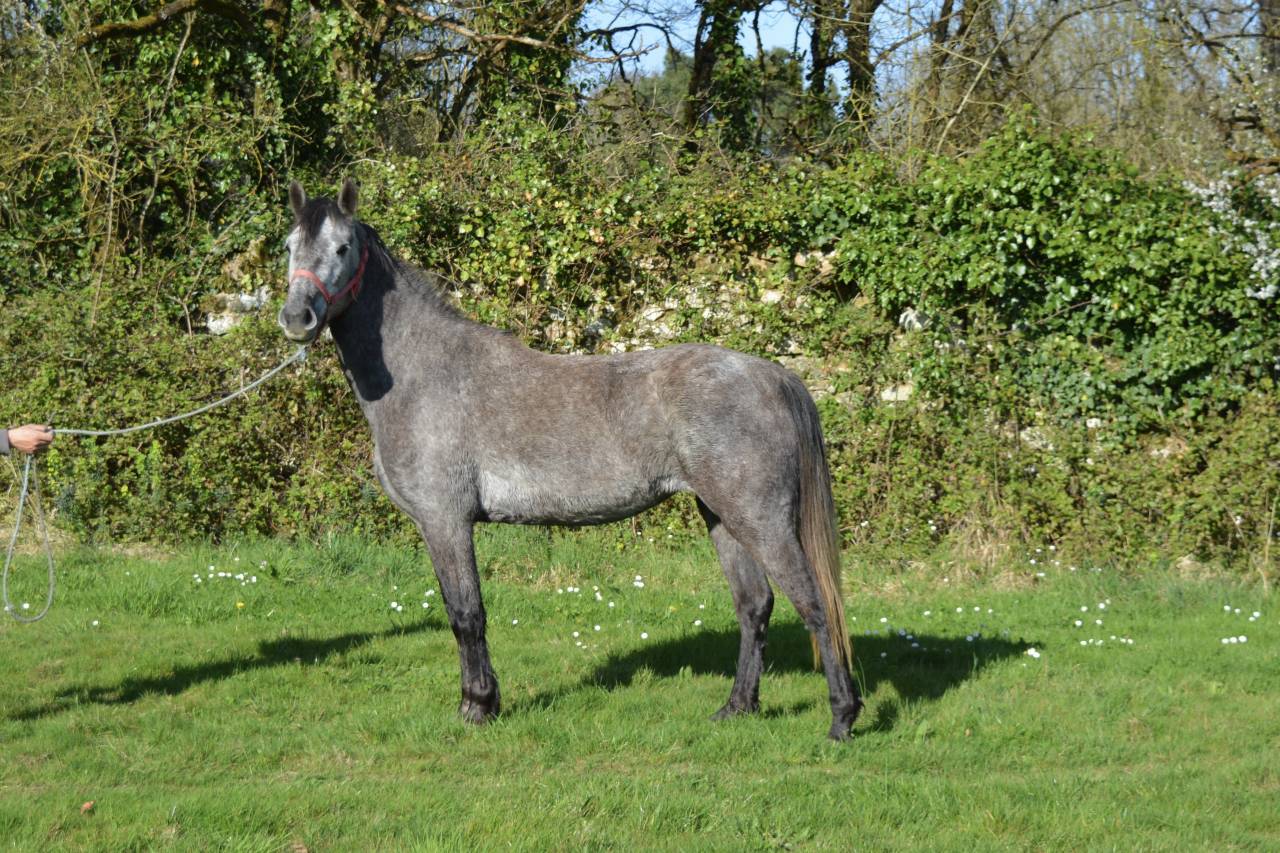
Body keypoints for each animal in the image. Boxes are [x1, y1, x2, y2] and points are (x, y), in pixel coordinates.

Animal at [277, 179, 862, 739]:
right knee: (754, 606)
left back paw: (842, 718)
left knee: (814, 603)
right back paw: (737, 708)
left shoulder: (445, 521)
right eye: (289, 247)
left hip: (761, 521)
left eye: (343, 246)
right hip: (722, 517)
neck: (425, 373)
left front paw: (477, 707)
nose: (296, 317)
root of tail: (773, 376)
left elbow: (466, 614)